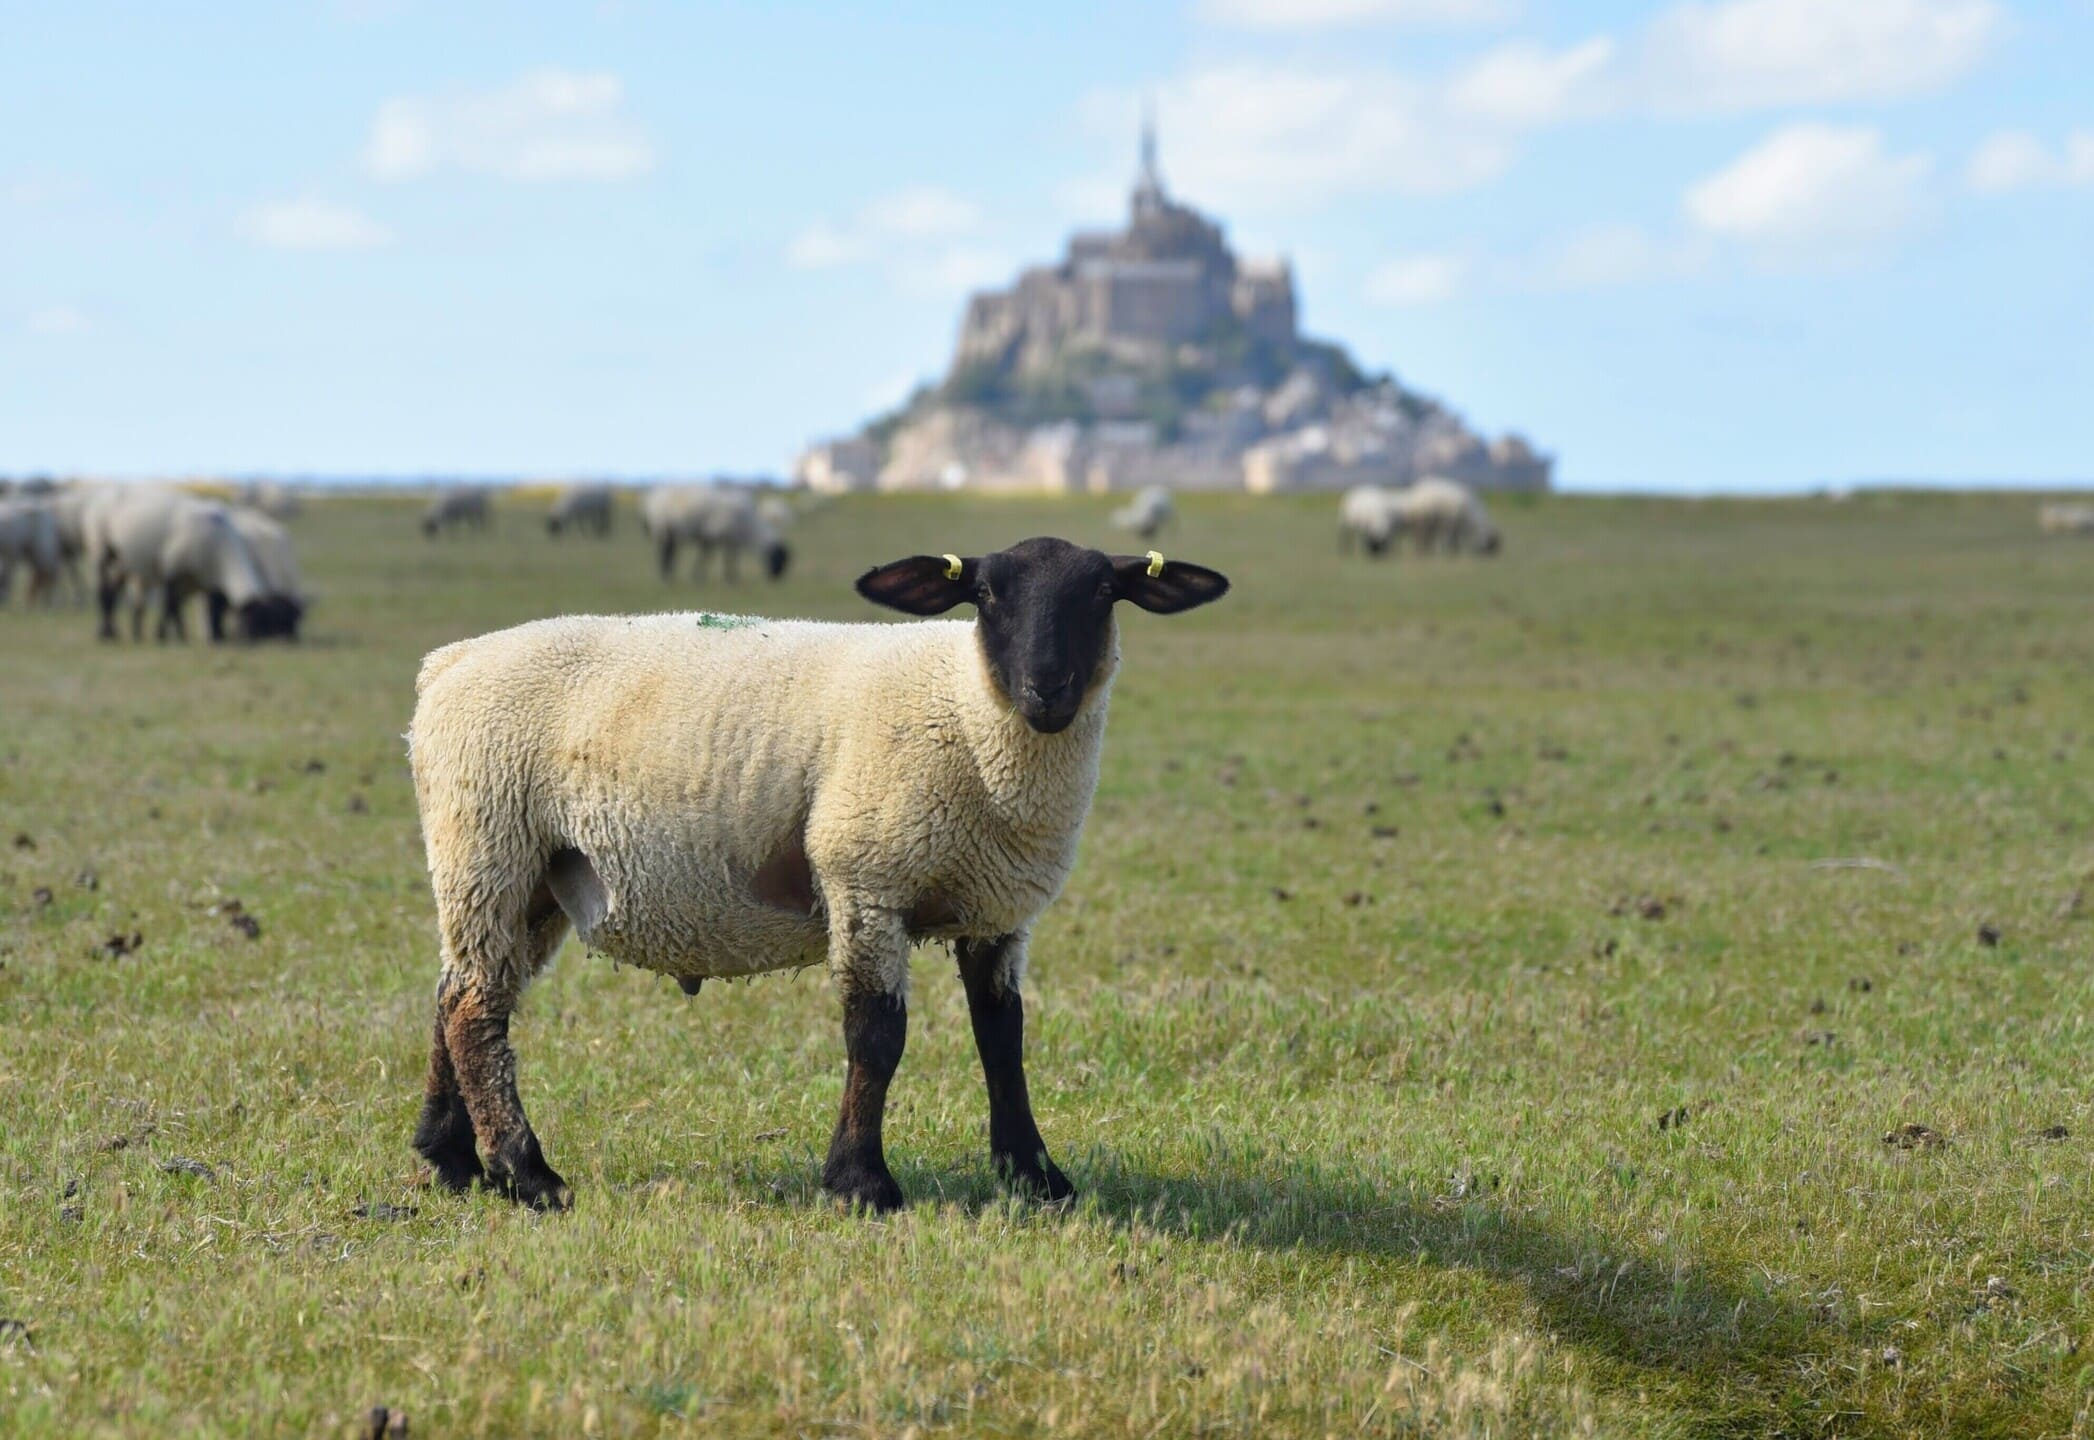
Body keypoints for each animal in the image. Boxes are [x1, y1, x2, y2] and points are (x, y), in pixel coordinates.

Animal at [397, 533, 1222, 1205]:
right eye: (986, 594)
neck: (963, 706)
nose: (1045, 691)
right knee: (476, 1008)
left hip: (532, 876)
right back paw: (526, 1173)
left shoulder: (997, 908)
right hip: (487, 839)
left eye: (1103, 592)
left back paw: (451, 1159)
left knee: (456, 990)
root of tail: (447, 664)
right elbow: (877, 1034)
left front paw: (1036, 1177)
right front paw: (861, 1183)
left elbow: (1002, 1036)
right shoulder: (865, 876)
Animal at [640, 477, 787, 577]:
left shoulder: (724, 539)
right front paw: (727, 578)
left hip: (670, 532)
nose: (777, 578)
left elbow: (722, 557)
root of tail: (651, 498)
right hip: (662, 528)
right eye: (779, 558)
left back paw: (669, 575)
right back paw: (666, 577)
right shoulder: (717, 536)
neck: (749, 526)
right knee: (664, 552)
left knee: (670, 552)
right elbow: (715, 557)